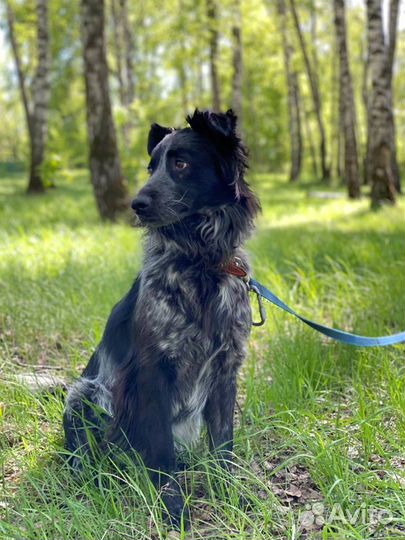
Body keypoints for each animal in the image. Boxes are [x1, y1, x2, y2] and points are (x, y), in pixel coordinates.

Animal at [62, 107, 258, 524]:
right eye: (151, 168)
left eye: (180, 163)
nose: (135, 204)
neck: (199, 262)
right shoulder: (153, 372)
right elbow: (162, 451)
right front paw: (171, 506)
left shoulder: (225, 370)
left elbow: (224, 447)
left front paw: (230, 497)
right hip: (85, 392)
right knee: (82, 454)